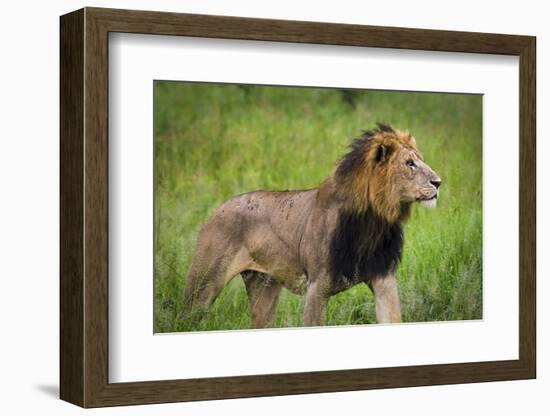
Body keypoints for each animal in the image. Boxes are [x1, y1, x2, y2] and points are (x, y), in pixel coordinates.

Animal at [181, 123, 444, 328]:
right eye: (410, 163)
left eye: (421, 161)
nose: (439, 182)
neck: (374, 221)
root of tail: (217, 209)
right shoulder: (317, 287)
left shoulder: (383, 279)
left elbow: (392, 318)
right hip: (204, 285)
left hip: (263, 286)